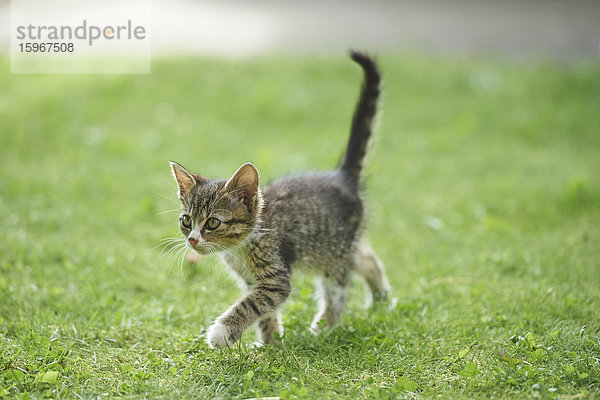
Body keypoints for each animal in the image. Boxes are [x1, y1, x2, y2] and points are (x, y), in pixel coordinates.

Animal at [171, 51, 392, 348]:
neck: (241, 247)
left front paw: (223, 332)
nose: (193, 240)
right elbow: (264, 310)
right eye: (186, 220)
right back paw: (381, 299)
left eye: (213, 223)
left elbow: (253, 303)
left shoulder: (275, 277)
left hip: (334, 252)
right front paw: (271, 342)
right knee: (365, 257)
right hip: (335, 247)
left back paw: (325, 326)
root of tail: (342, 176)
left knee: (337, 292)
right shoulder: (252, 280)